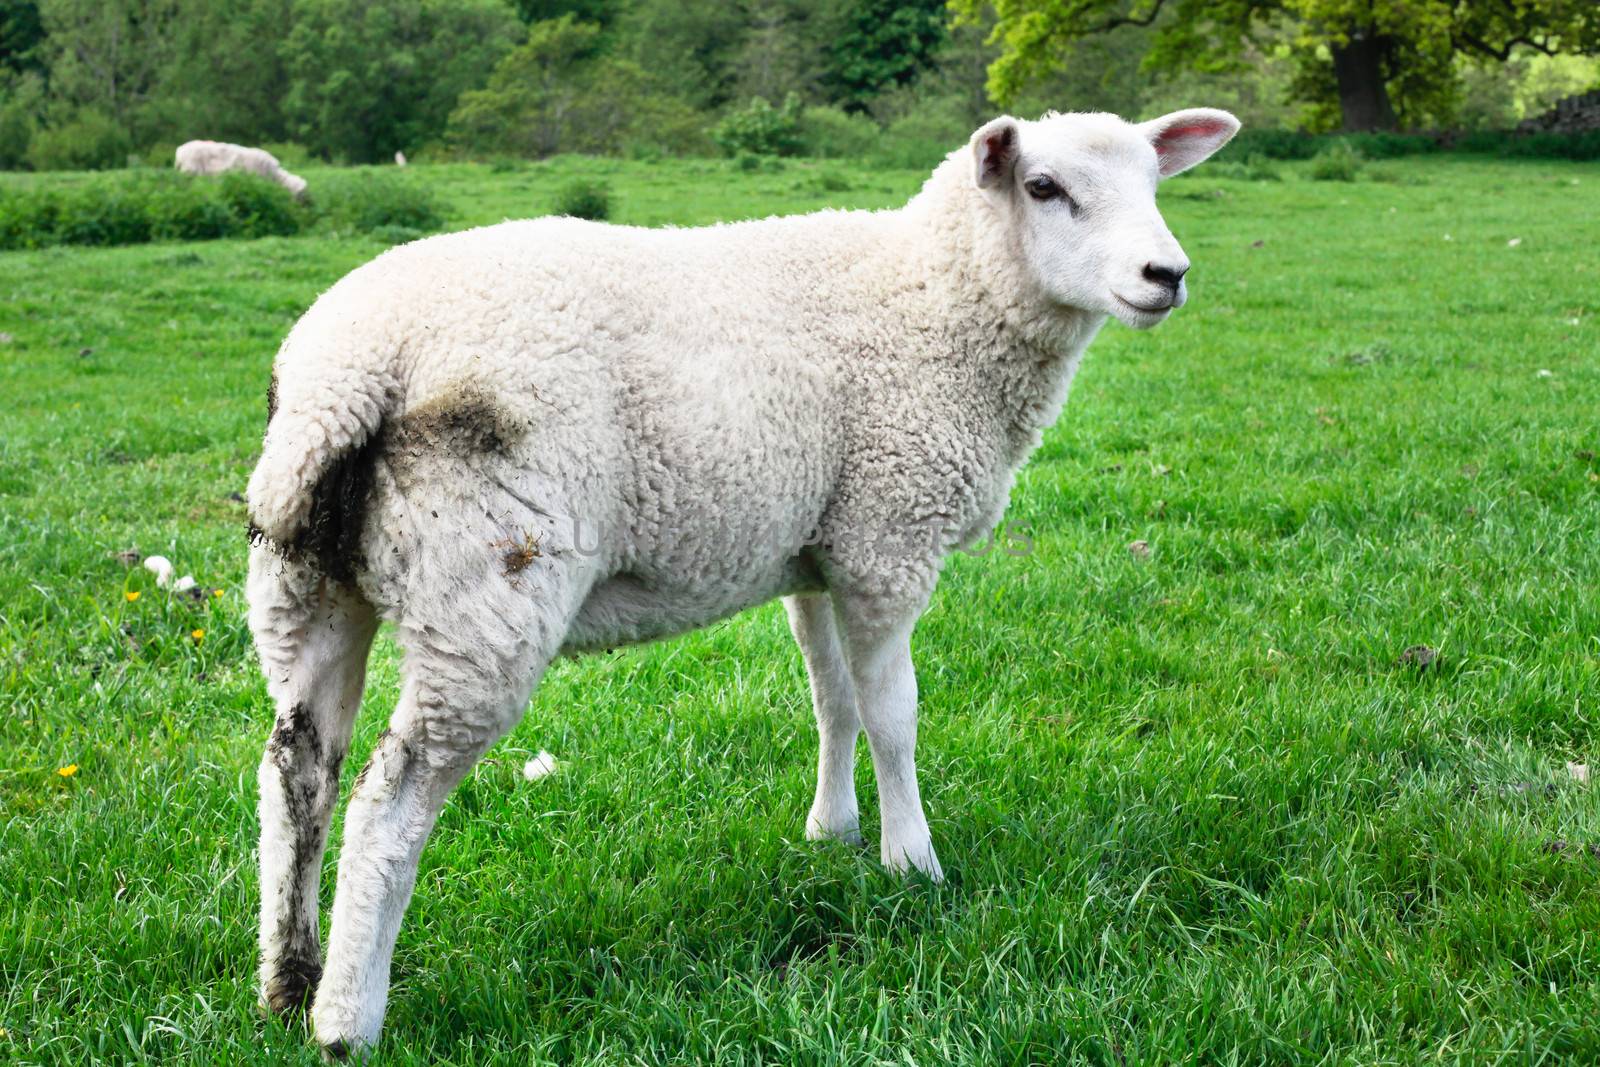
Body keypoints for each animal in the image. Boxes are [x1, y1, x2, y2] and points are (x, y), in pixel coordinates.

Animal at [246, 103, 1235, 1055]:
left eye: (1154, 181)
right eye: (1043, 186)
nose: (1167, 274)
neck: (937, 300)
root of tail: (346, 375)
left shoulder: (819, 549)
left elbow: (832, 698)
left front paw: (832, 832)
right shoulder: (889, 536)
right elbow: (893, 714)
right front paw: (911, 862)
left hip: (305, 583)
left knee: (298, 771)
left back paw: (288, 983)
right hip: (487, 588)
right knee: (389, 801)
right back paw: (347, 1020)